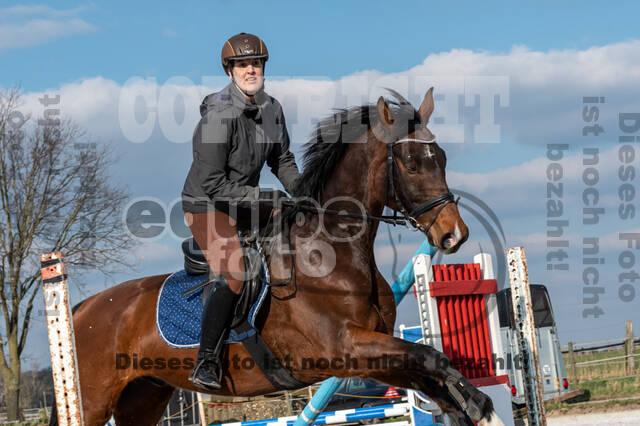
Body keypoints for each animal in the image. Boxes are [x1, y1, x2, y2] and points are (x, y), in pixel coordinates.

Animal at [56, 88, 500, 424]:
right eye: (410, 165)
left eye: (441, 158)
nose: (454, 235)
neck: (332, 251)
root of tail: (80, 310)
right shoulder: (345, 350)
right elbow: (431, 358)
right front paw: (481, 406)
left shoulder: (374, 352)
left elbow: (431, 371)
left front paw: (475, 406)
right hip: (94, 401)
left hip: (144, 395)